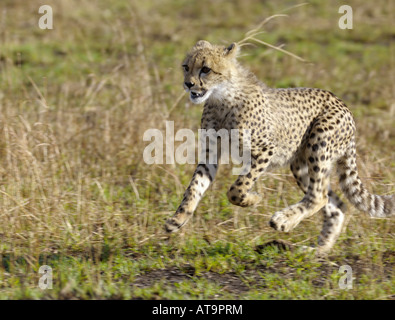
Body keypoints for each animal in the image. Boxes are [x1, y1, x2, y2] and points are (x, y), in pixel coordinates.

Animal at [164, 40, 392, 254]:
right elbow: (195, 187)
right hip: (300, 164)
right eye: (186, 66)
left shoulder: (264, 150)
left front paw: (252, 199)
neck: (221, 97)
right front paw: (178, 219)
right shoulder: (210, 153)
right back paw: (317, 251)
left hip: (319, 143)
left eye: (206, 69)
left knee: (319, 196)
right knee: (333, 204)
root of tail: (342, 103)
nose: (188, 84)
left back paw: (283, 221)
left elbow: (237, 189)